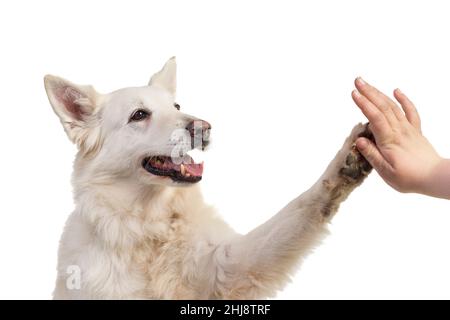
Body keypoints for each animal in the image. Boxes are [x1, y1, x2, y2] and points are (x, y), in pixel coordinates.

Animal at [44, 58, 372, 300]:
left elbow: (298, 210)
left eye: (176, 106)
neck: (149, 229)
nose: (203, 127)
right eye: (139, 115)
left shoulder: (229, 267)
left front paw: (346, 163)